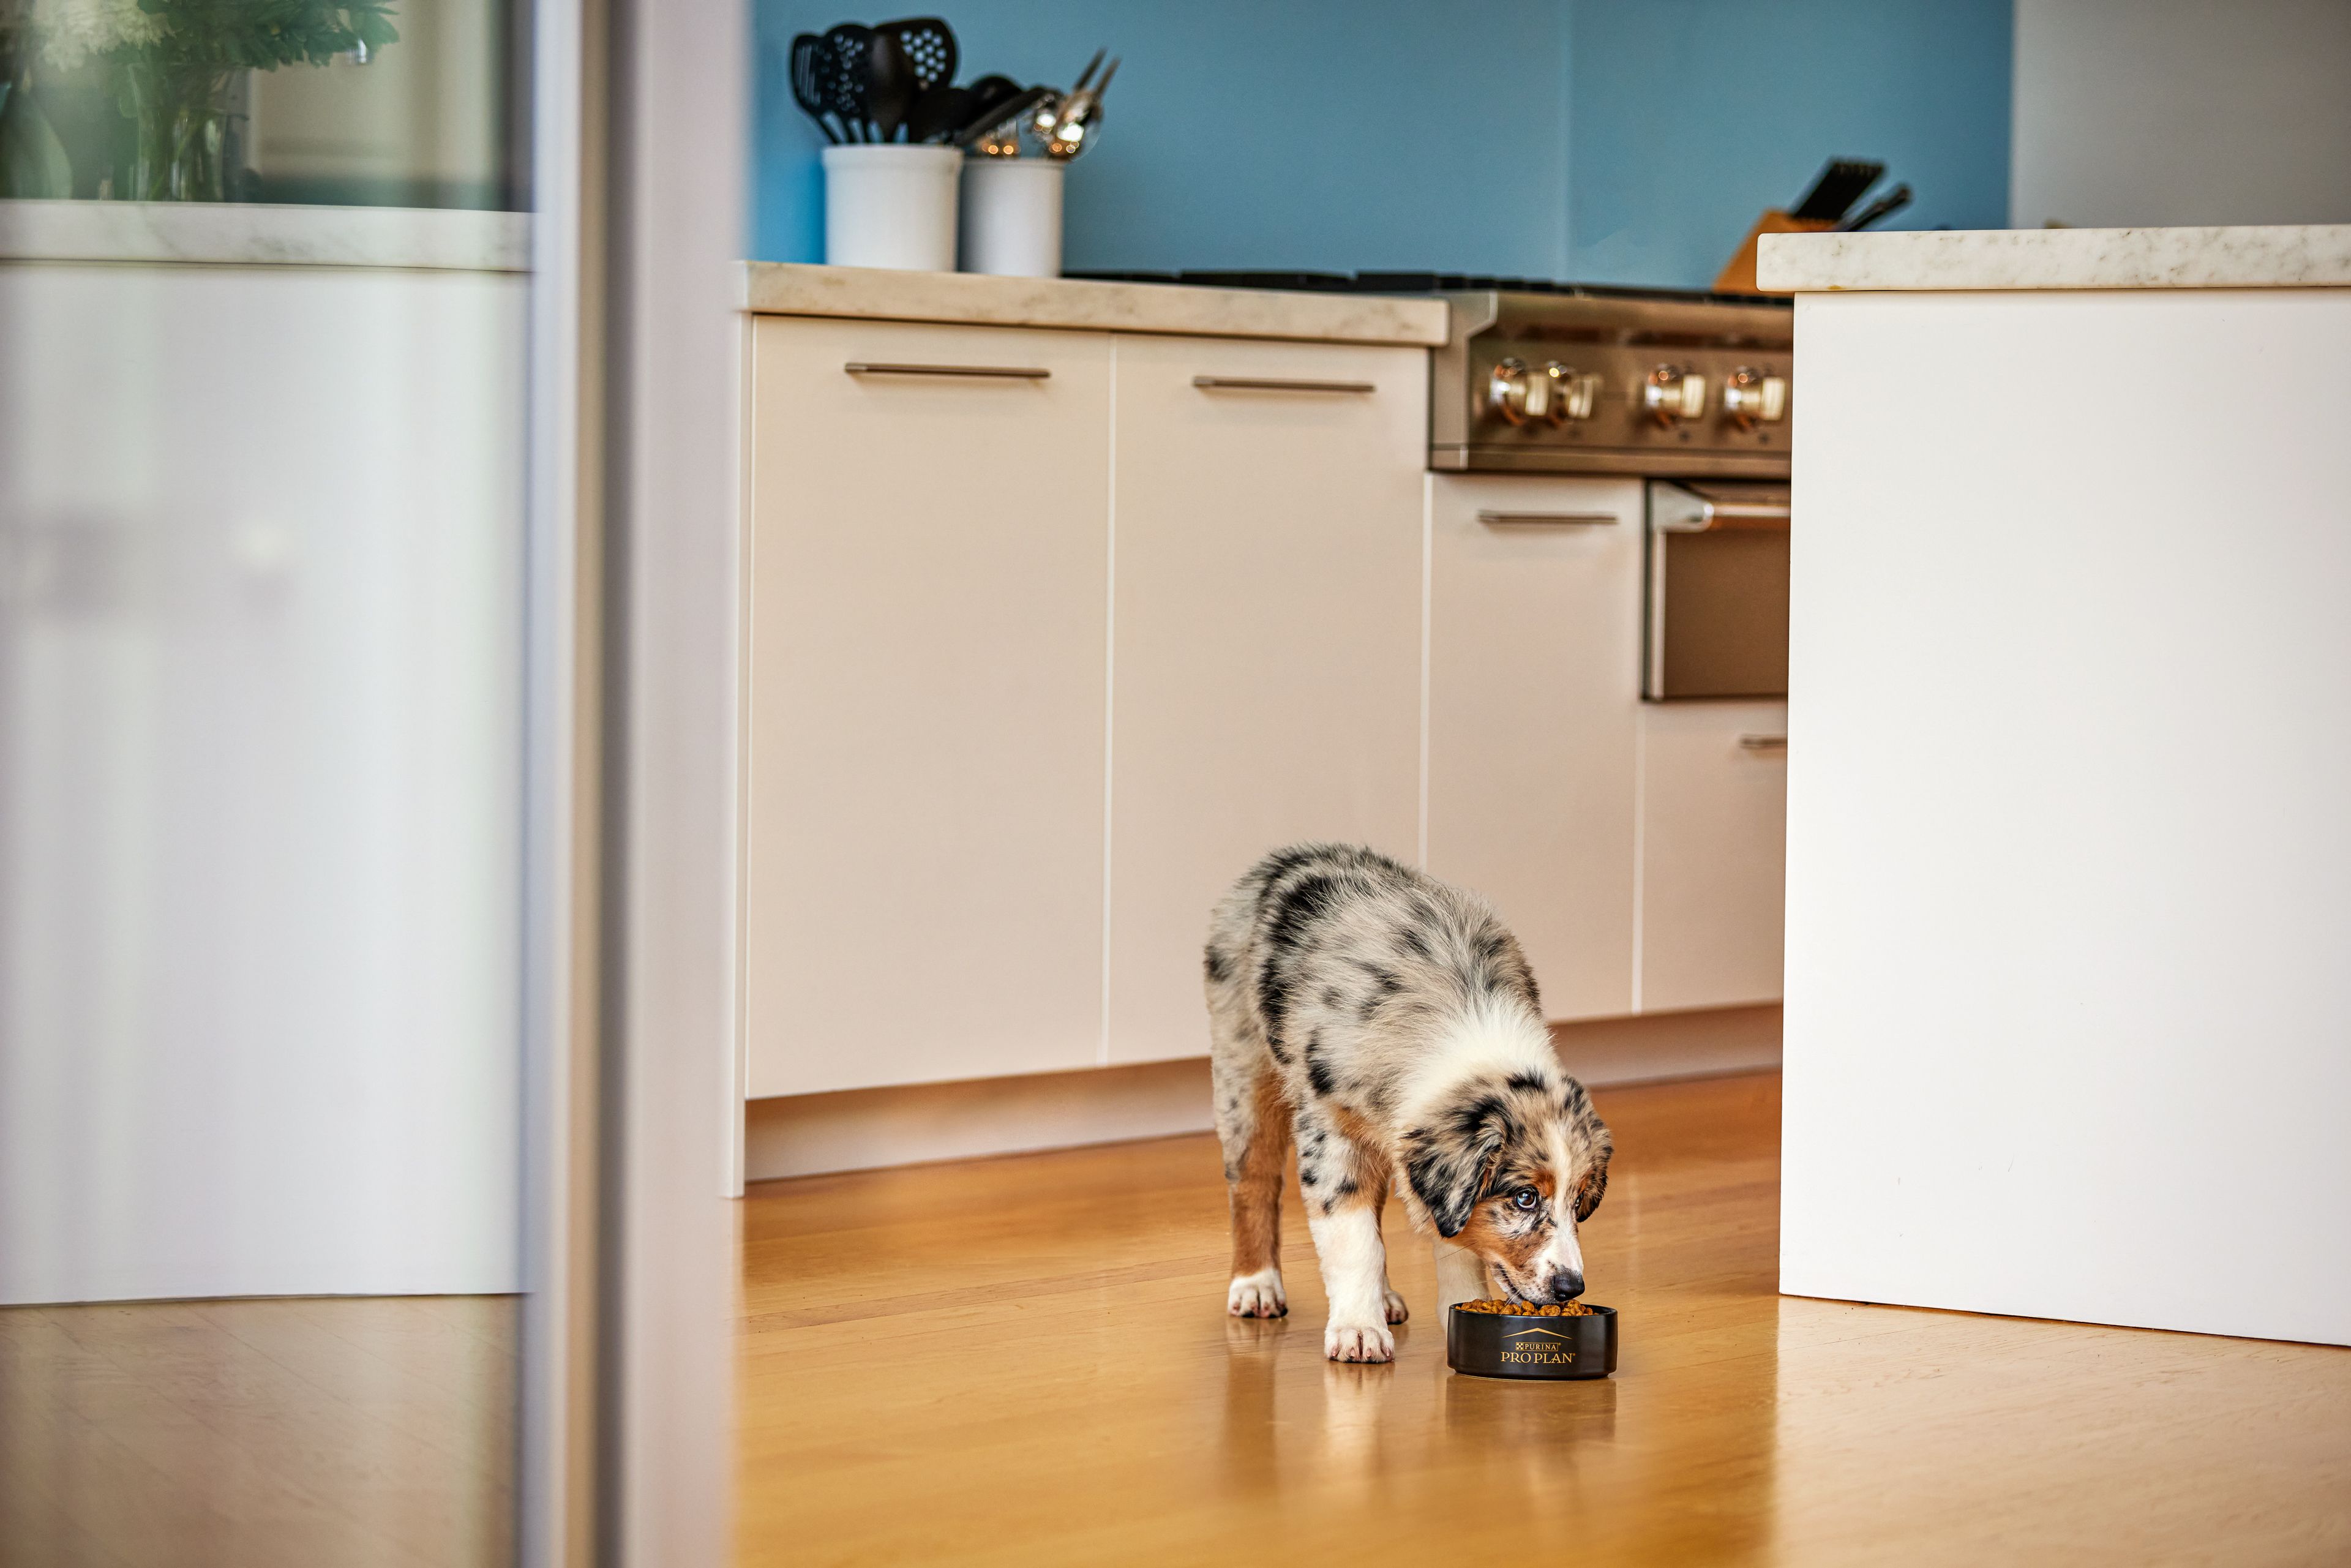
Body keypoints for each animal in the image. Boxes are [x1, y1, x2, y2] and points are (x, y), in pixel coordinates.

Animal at [1204, 846, 1608, 1363]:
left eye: (1578, 1200)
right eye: (1524, 1197)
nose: (1571, 1288)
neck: (1465, 1024)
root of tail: (1290, 855)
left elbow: (1453, 1242)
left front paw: (1459, 1307)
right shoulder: (1330, 1134)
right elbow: (1354, 1240)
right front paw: (1358, 1329)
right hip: (1244, 1067)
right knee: (1253, 1181)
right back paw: (1256, 1284)